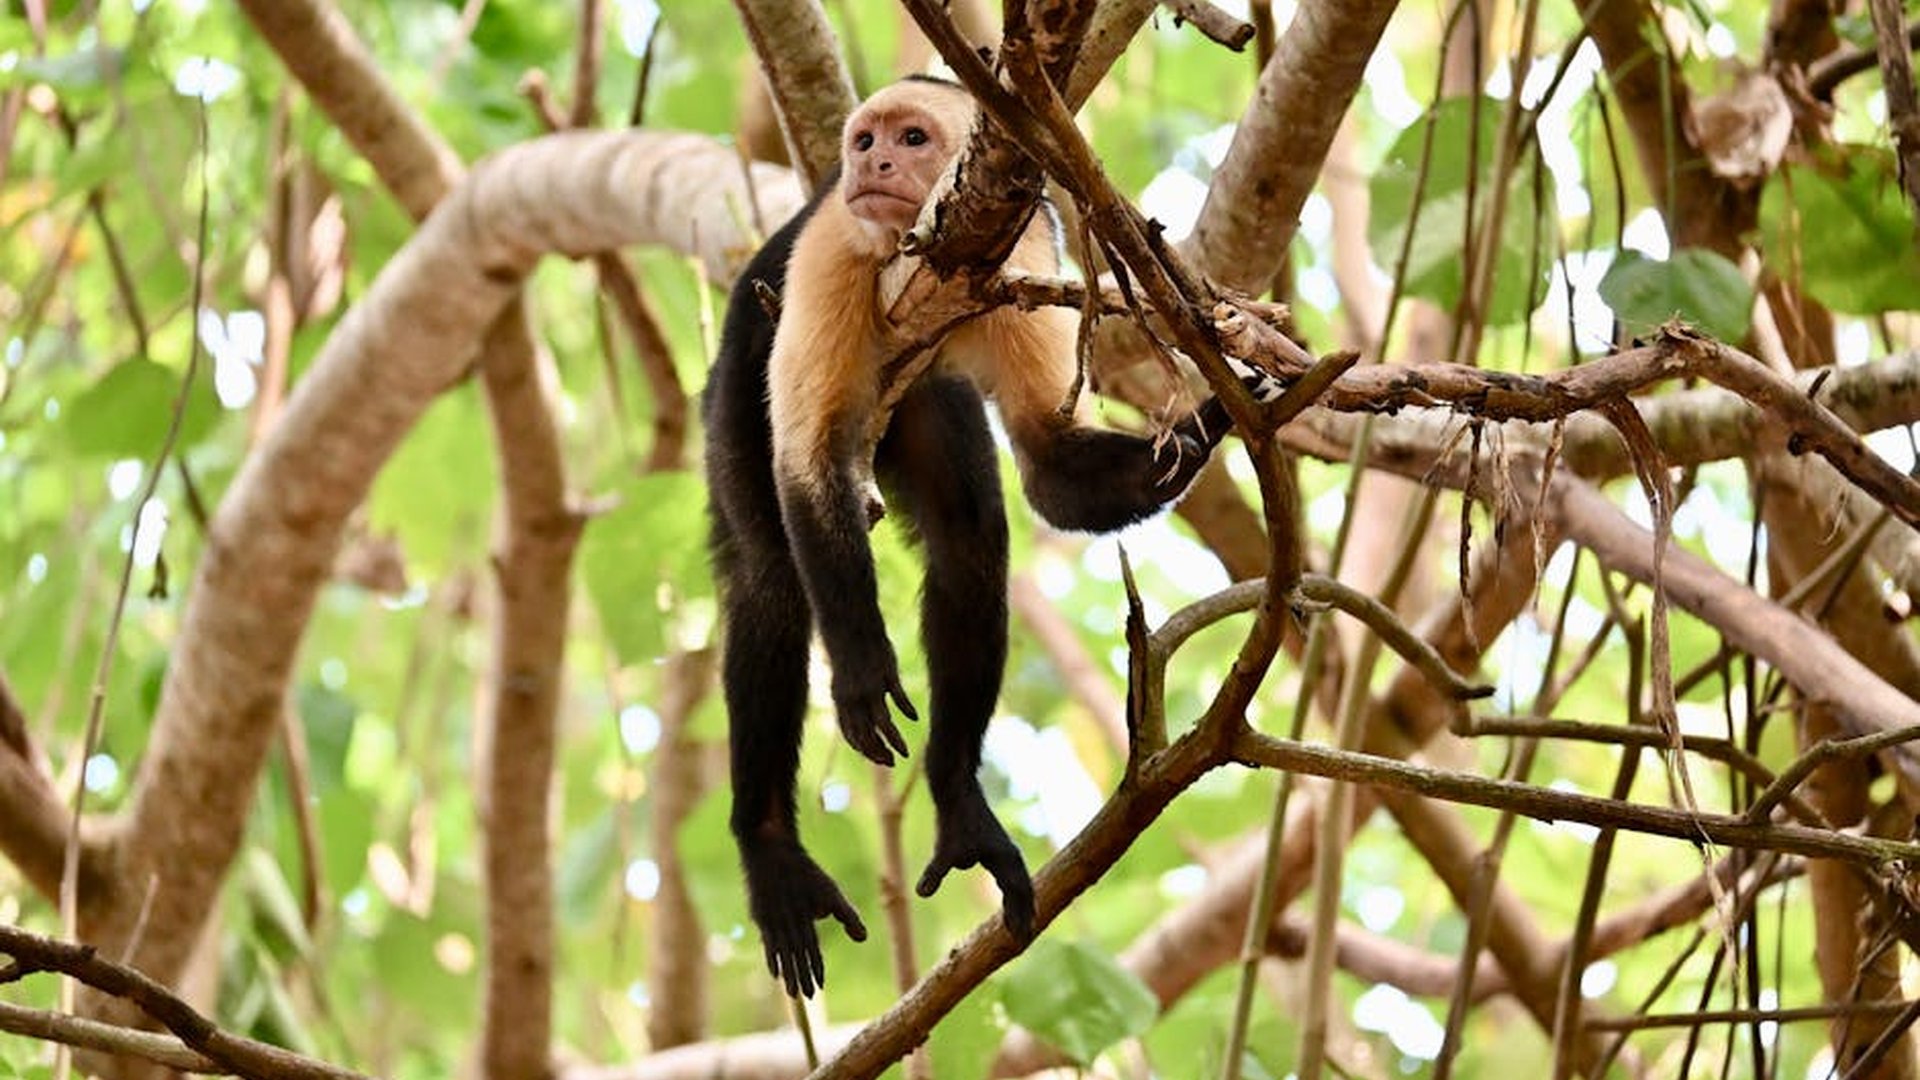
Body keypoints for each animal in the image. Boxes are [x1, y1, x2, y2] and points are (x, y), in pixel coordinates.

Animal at [705, 75, 1272, 998]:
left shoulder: (1026, 252)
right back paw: (770, 849)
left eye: (910, 138)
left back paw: (957, 799)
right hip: (731, 387)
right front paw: (862, 667)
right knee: (769, 575)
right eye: (864, 142)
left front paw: (1219, 415)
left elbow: (1051, 470)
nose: (874, 165)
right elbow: (809, 465)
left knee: (970, 539)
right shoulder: (831, 246)